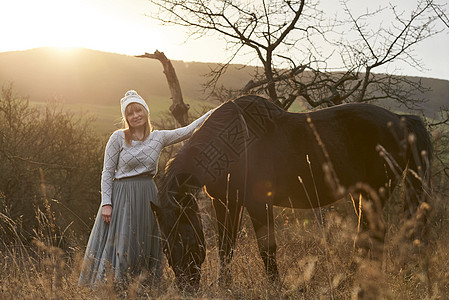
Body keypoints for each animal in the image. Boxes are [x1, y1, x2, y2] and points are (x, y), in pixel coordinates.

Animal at [150, 94, 430, 290]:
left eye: (186, 239)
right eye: (165, 246)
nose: (187, 287)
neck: (232, 144)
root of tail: (402, 120)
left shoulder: (258, 204)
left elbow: (267, 248)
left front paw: (275, 286)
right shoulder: (225, 202)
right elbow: (225, 247)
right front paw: (224, 286)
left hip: (374, 192)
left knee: (373, 234)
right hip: (362, 194)